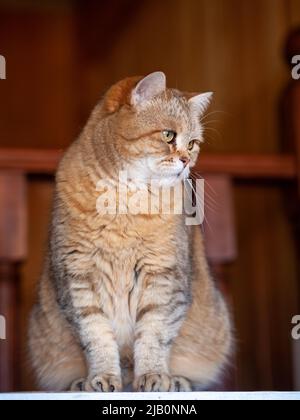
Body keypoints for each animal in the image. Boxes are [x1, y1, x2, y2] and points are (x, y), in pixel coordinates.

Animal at [28, 71, 233, 390]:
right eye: (168, 135)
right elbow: (97, 338)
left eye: (193, 143)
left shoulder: (163, 277)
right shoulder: (78, 278)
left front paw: (153, 376)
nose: (186, 161)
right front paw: (101, 378)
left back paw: (176, 380)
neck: (125, 202)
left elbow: (154, 335)